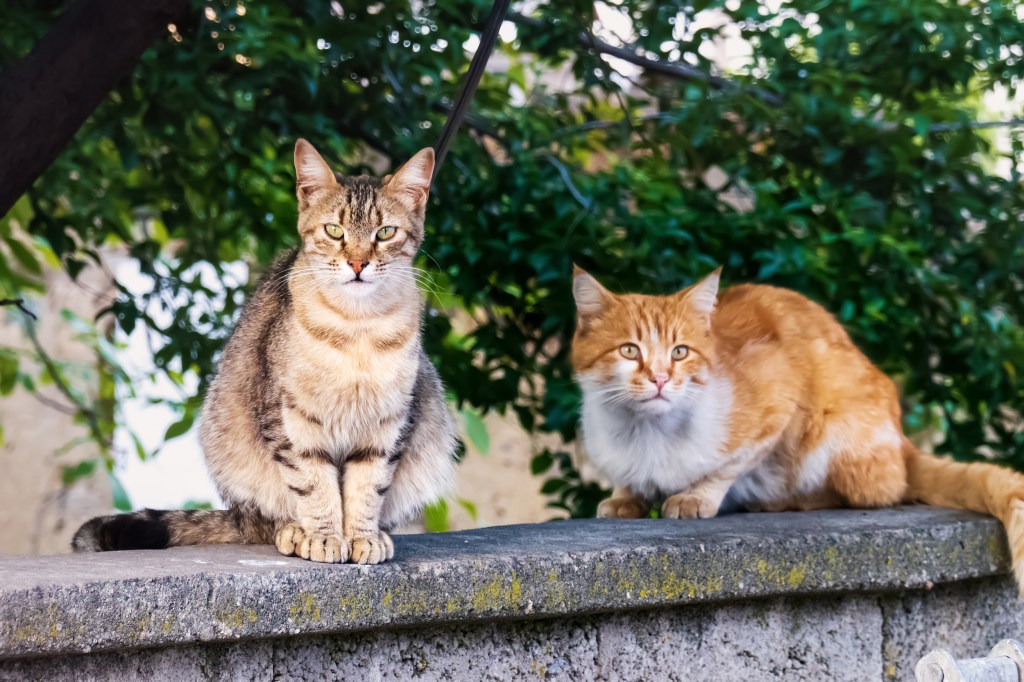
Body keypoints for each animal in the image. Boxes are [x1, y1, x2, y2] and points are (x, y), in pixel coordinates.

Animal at [73, 139, 456, 561]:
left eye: (386, 232)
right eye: (334, 230)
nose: (358, 263)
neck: (357, 326)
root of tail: (239, 515)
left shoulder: (389, 422)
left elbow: (367, 487)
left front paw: (362, 536)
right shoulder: (289, 418)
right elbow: (314, 484)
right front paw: (324, 535)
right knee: (268, 518)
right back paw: (293, 530)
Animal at [573, 266, 1024, 589]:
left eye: (680, 352)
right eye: (629, 350)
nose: (660, 378)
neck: (646, 432)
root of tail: (903, 442)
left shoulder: (779, 402)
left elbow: (726, 467)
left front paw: (695, 497)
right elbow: (629, 482)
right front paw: (625, 497)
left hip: (835, 427)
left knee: (873, 493)